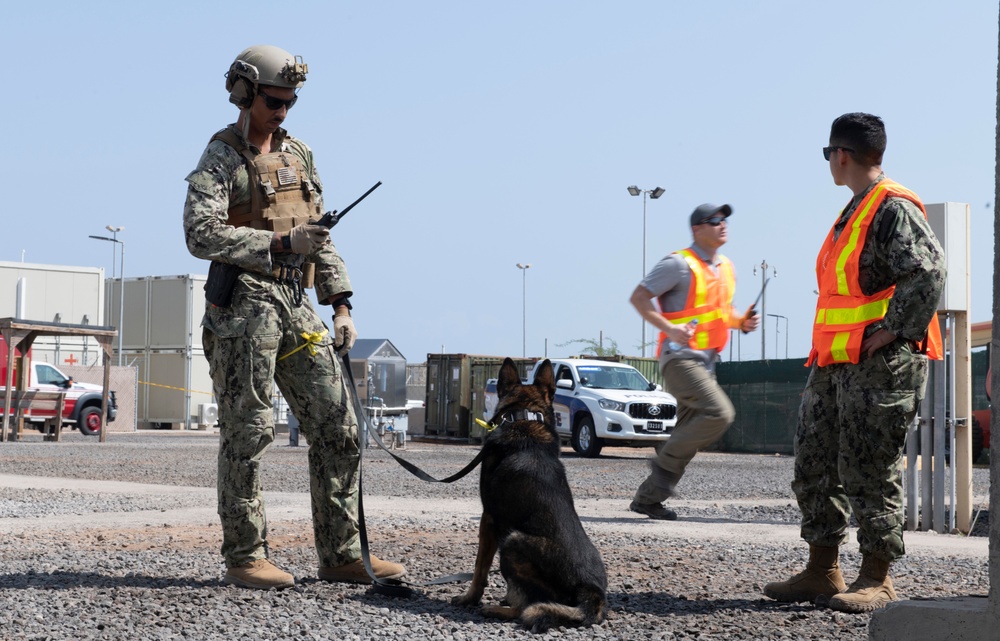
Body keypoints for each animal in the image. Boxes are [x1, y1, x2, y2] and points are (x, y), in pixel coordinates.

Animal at [452, 358, 604, 632]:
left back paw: (497, 609)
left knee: (526, 608)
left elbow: (480, 568)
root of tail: (592, 592)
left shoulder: (488, 519)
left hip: (512, 541)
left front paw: (470, 598)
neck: (524, 416)